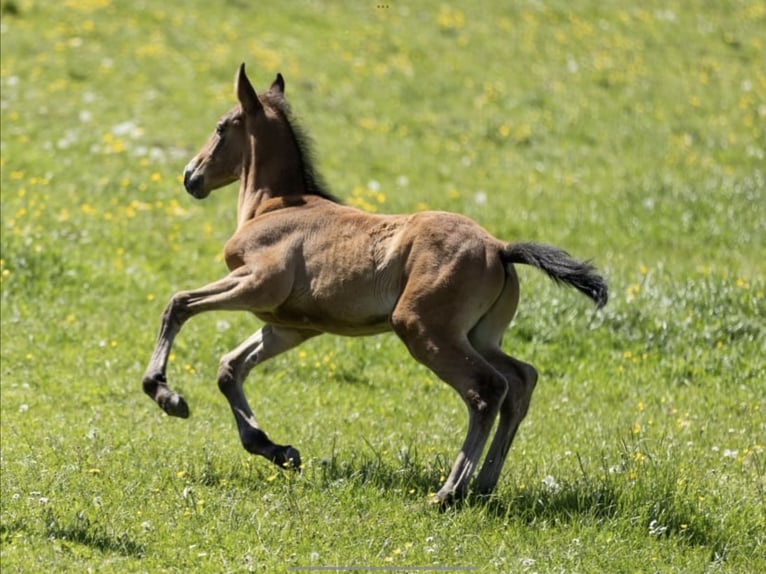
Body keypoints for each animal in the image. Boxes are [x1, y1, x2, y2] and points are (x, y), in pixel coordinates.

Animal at [143, 63, 608, 503]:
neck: (273, 207)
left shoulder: (258, 283)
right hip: (479, 336)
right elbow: (229, 368)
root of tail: (499, 248)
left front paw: (166, 395)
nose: (190, 176)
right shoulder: (290, 326)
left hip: (422, 328)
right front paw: (278, 451)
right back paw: (484, 485)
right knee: (520, 379)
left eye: (222, 126)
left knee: (487, 389)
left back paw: (450, 492)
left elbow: (178, 303)